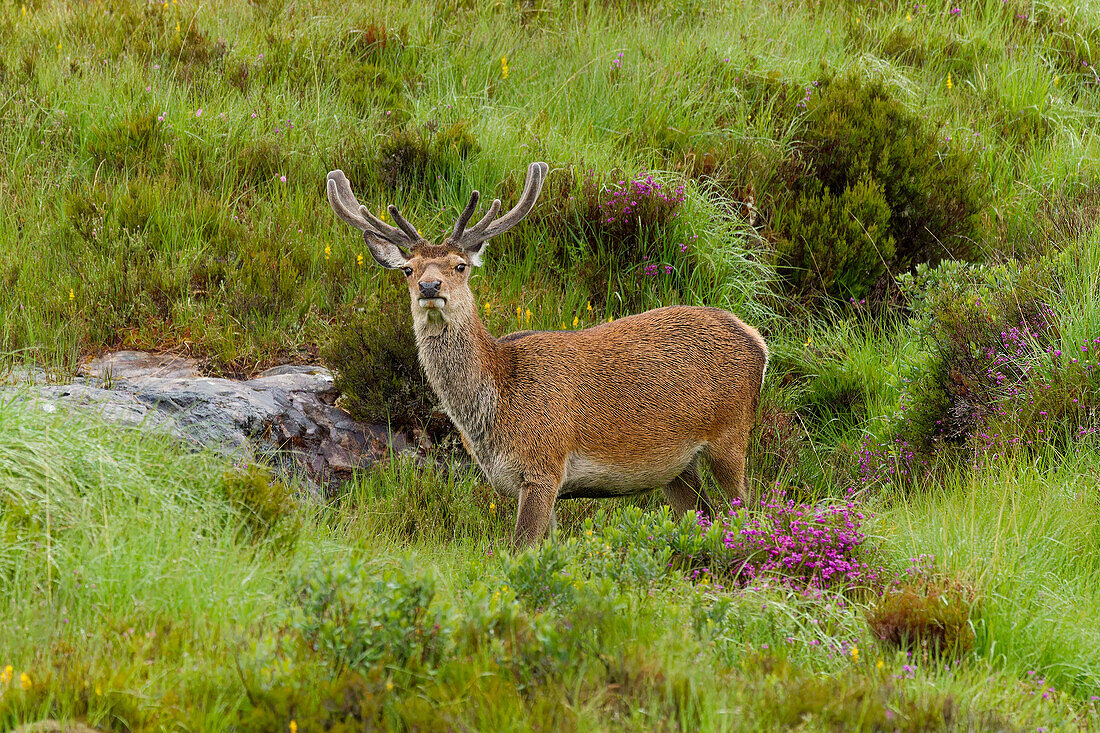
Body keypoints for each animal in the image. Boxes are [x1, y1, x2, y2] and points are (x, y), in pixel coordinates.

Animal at [325, 162, 770, 545]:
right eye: (408, 269)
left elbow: (520, 548)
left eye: (459, 265)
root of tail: (758, 341)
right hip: (676, 469)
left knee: (747, 507)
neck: (497, 404)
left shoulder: (543, 465)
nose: (430, 287)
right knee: (704, 513)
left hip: (730, 433)